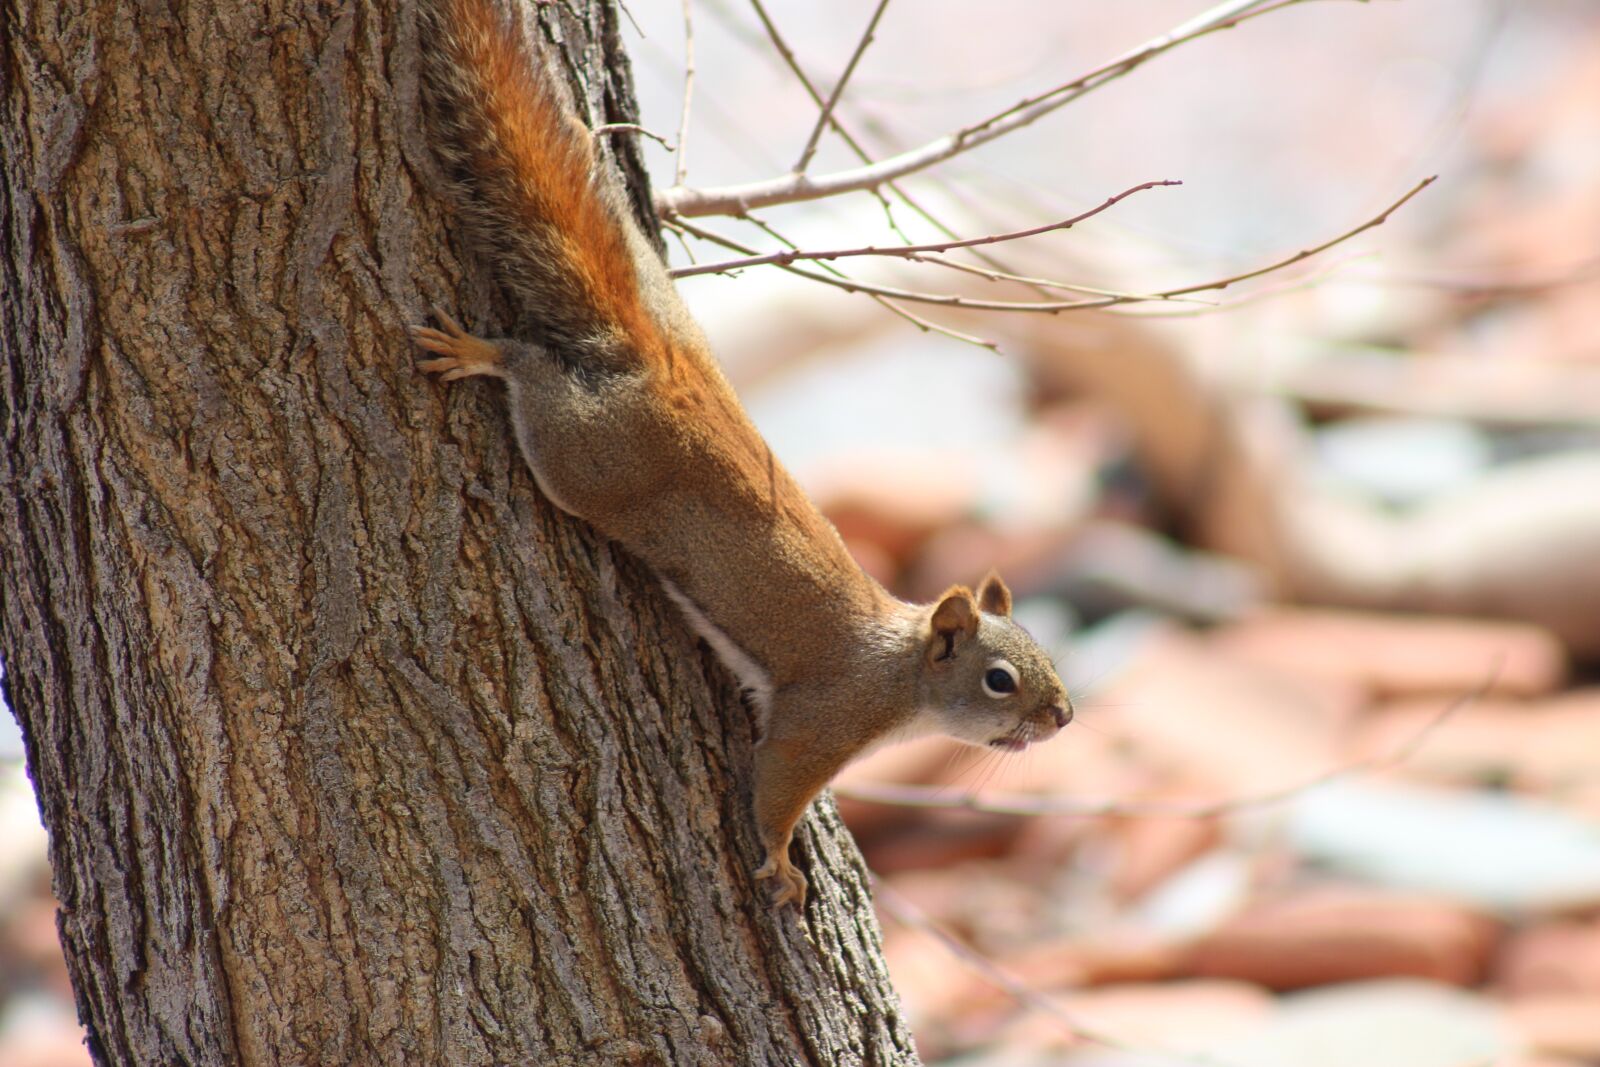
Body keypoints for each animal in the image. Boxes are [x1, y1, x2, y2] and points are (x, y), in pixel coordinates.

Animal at [409, 0, 1075, 908]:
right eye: (1000, 679)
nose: (1064, 716)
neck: (901, 673)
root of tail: (664, 363)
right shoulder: (821, 722)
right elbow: (775, 789)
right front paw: (784, 864)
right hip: (581, 457)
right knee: (534, 379)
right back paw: (483, 352)